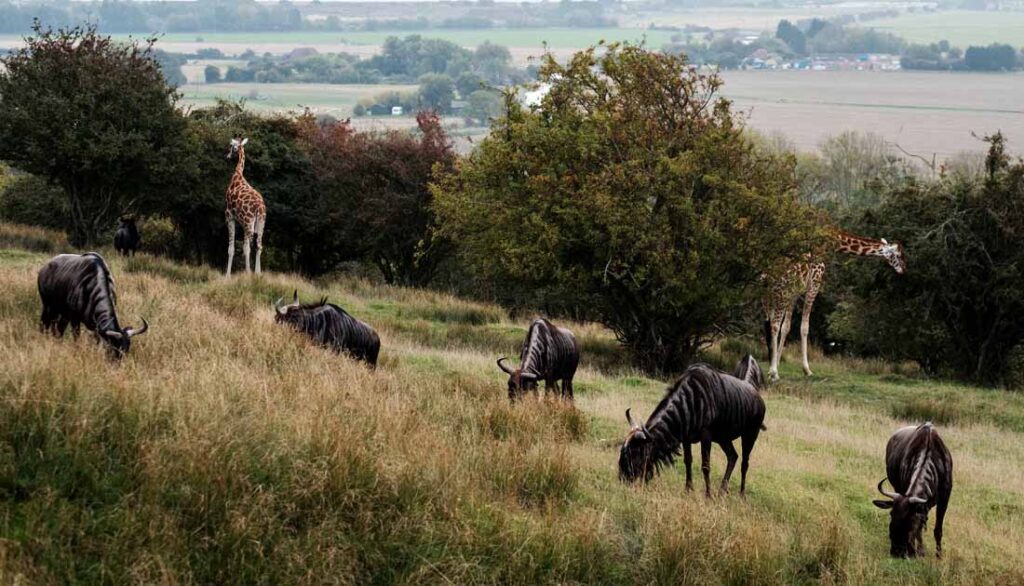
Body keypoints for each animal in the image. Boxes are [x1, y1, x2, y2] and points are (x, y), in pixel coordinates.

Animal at [224, 138, 266, 276]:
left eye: (232, 146)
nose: (228, 156)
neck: (237, 176)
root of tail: (260, 208)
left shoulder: (229, 216)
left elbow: (232, 248)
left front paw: (227, 275)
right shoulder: (242, 223)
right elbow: (244, 247)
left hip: (249, 223)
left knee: (251, 247)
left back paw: (250, 273)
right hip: (260, 223)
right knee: (259, 246)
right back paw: (258, 274)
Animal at [765, 228, 909, 379]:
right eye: (899, 255)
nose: (904, 269)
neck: (828, 243)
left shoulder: (796, 290)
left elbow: (786, 327)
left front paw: (776, 364)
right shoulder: (814, 284)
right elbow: (804, 327)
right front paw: (806, 370)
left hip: (772, 291)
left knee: (771, 323)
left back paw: (772, 369)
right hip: (782, 289)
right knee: (774, 324)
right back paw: (775, 373)